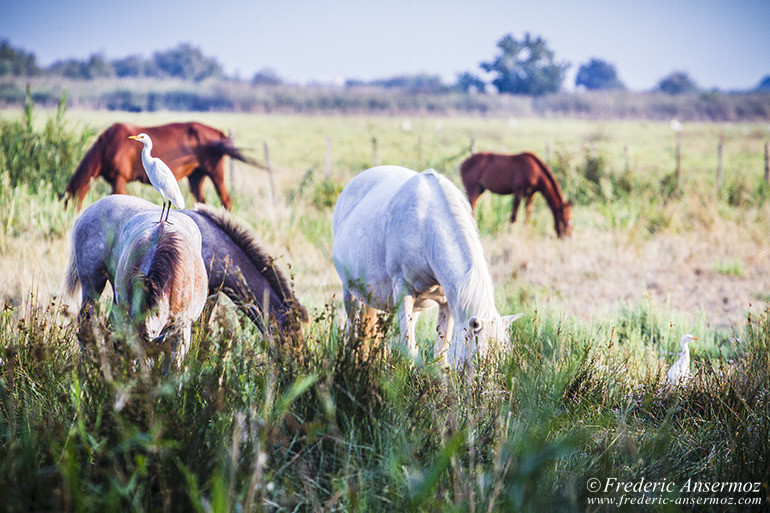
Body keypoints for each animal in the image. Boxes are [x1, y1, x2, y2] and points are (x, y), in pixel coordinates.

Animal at [60, 122, 258, 210]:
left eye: (67, 203)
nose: (72, 218)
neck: (107, 145)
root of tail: (220, 134)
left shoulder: (119, 180)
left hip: (215, 173)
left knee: (226, 200)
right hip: (197, 177)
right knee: (202, 201)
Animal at [65, 195, 306, 344]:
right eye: (291, 333)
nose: (295, 365)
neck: (217, 245)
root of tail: (83, 216)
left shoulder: (211, 294)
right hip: (93, 285)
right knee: (85, 324)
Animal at [332, 165, 520, 368]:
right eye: (476, 357)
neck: (426, 227)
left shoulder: (447, 302)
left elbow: (440, 352)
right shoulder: (403, 292)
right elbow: (409, 349)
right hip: (350, 292)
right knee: (352, 332)